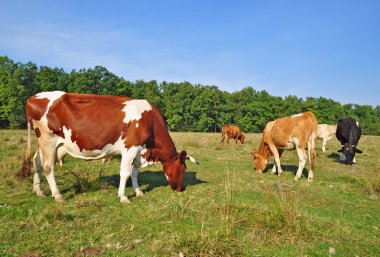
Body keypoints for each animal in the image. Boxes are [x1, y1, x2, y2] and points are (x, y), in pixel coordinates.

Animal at [20, 91, 199, 202]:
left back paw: (39, 191)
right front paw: (123, 196)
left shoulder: (139, 151)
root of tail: (33, 97)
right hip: (48, 141)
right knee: (48, 167)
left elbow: (134, 173)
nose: (180, 188)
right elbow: (125, 174)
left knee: (37, 162)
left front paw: (138, 192)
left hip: (43, 143)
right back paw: (58, 196)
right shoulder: (130, 147)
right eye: (183, 169)